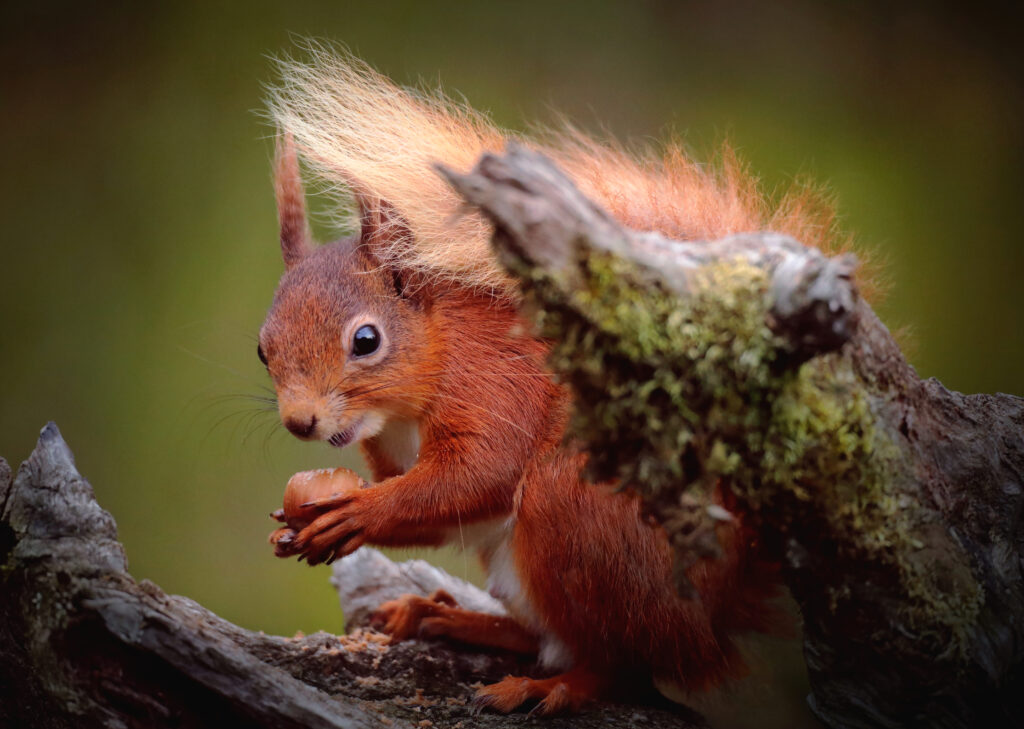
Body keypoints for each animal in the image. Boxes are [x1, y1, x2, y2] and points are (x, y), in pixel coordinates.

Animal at [258, 49, 818, 715]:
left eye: (365, 341)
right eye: (262, 349)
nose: (300, 422)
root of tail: (717, 613)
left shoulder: (498, 381)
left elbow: (479, 474)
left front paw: (359, 512)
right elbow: (440, 505)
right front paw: (300, 526)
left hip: (581, 513)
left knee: (623, 663)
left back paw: (552, 685)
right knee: (549, 637)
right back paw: (444, 617)